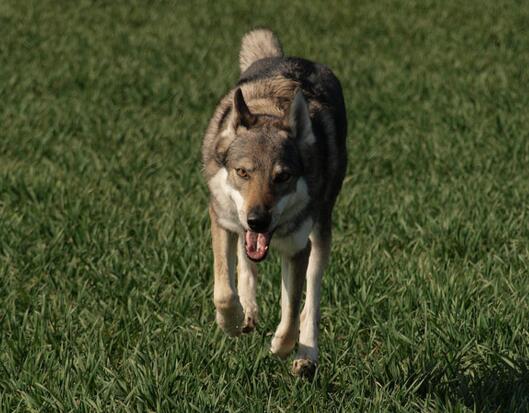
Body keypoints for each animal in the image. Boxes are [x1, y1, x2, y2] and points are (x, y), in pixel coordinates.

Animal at [202, 29, 347, 376]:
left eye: (282, 177)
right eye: (243, 172)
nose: (258, 220)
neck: (271, 109)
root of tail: (289, 58)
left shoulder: (297, 248)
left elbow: (292, 311)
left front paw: (281, 347)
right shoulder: (222, 220)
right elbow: (224, 292)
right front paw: (232, 323)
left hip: (320, 237)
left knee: (311, 300)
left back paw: (306, 356)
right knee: (245, 265)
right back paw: (248, 313)